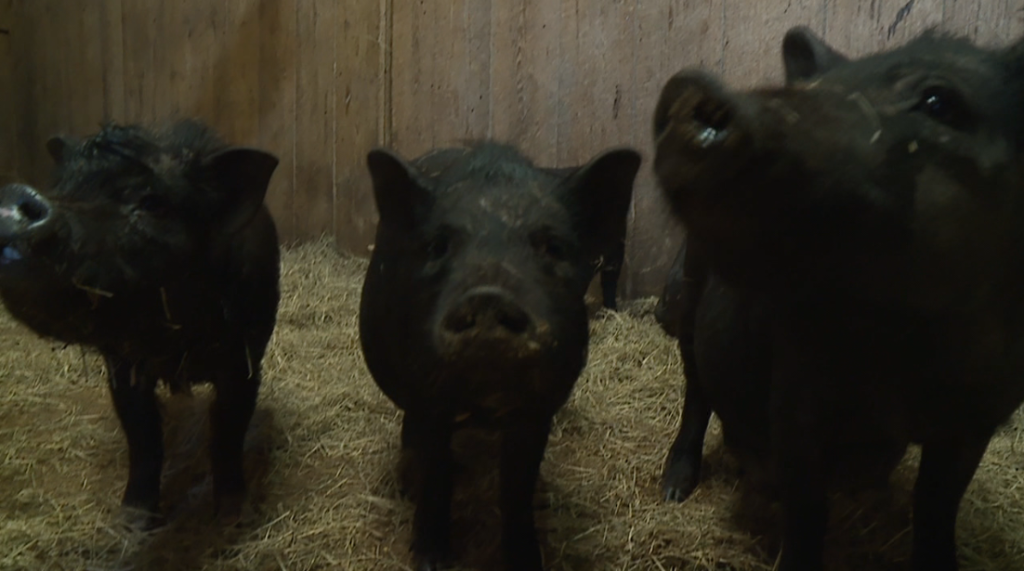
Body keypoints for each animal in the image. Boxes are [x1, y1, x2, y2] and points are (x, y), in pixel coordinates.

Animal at [0, 120, 280, 527]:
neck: (175, 348)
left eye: (152, 204)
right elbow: (143, 436)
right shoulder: (122, 364)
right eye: (62, 186)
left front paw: (233, 516)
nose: (15, 195)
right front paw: (131, 519)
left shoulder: (244, 360)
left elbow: (228, 430)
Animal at [359, 142, 640, 571]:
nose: (488, 297)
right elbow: (437, 474)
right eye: (438, 246)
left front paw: (527, 560)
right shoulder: (428, 398)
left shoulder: (537, 410)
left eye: (553, 246)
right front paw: (430, 560)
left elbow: (517, 486)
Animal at [653, 26, 1024, 571]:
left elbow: (937, 507)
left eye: (939, 101)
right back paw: (675, 489)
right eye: (814, 87)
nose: (693, 89)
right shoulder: (796, 397)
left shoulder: (979, 415)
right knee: (696, 386)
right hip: (688, 287)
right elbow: (807, 515)